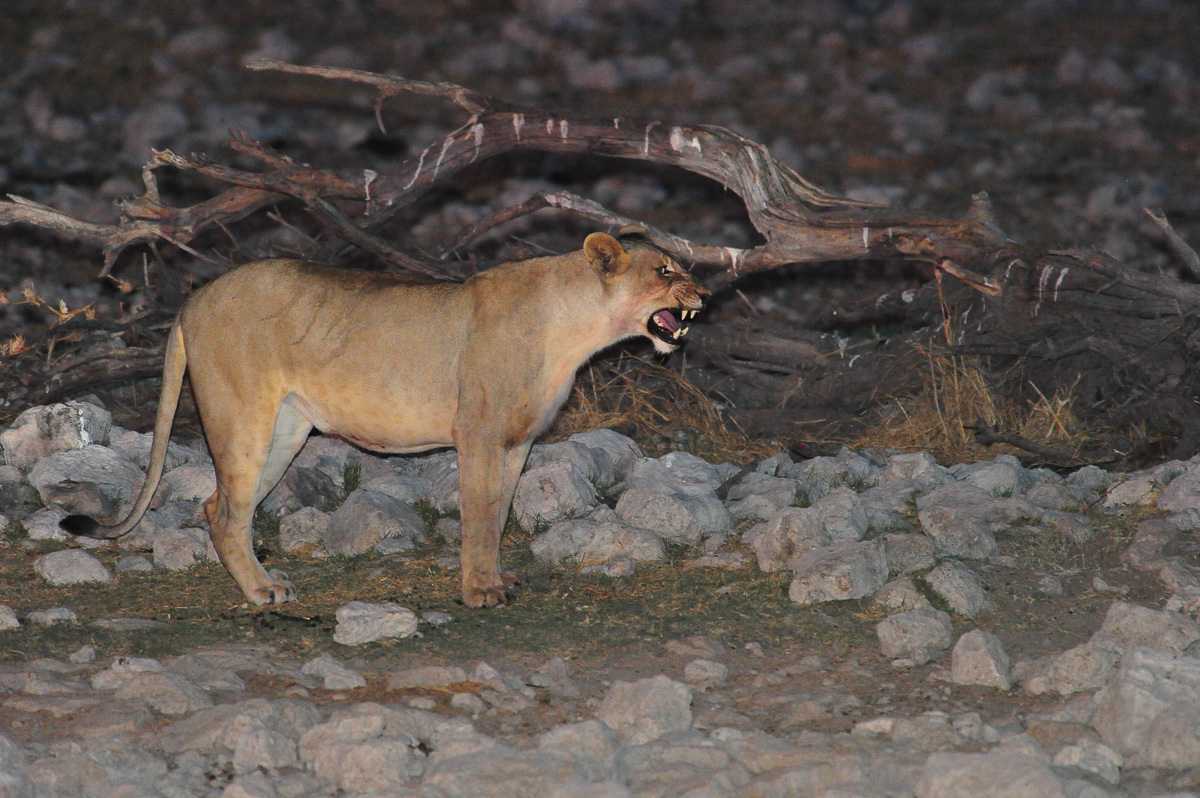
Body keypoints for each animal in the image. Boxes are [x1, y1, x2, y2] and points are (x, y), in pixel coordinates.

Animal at [62, 230, 709, 608]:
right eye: (665, 271)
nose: (703, 296)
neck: (577, 326)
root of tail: (193, 300)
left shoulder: (517, 443)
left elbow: (499, 514)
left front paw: (498, 580)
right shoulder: (478, 434)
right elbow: (479, 517)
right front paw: (479, 592)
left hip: (286, 430)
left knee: (218, 505)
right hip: (242, 419)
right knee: (224, 513)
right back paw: (264, 591)